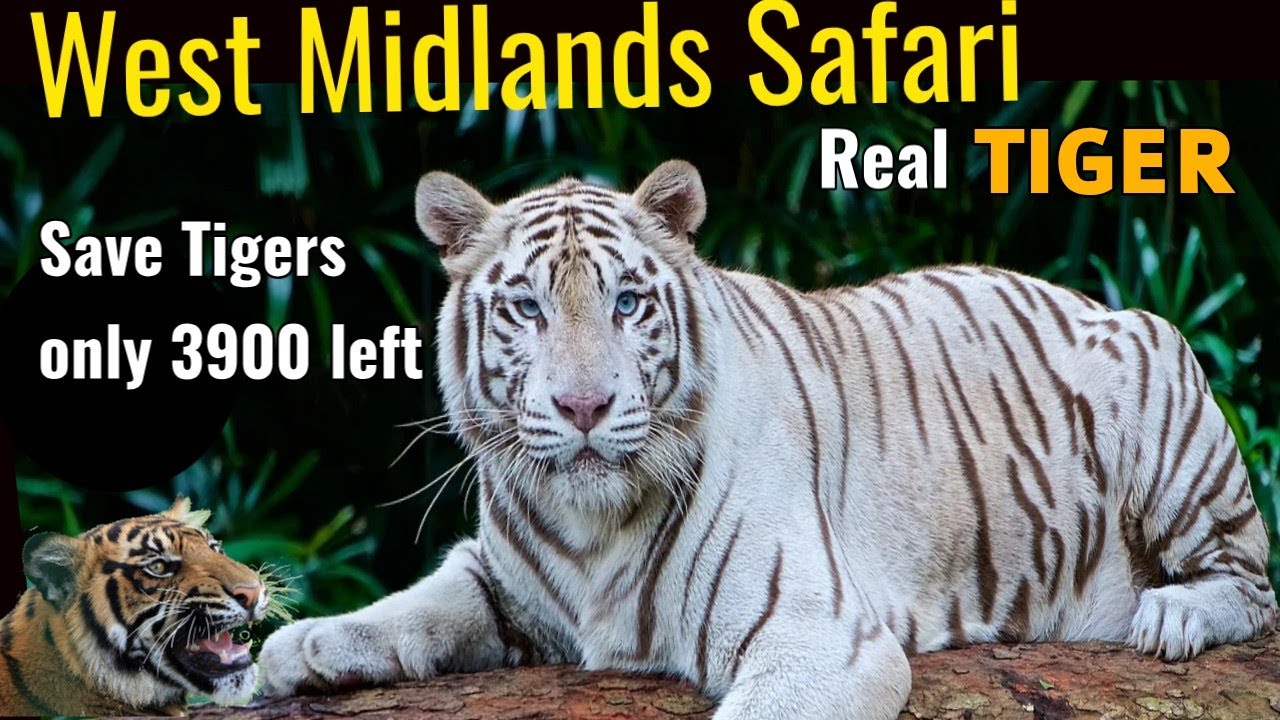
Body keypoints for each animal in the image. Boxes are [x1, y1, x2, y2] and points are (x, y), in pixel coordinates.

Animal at [258, 160, 1276, 719]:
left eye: (627, 302)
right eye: (528, 308)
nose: (584, 406)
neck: (589, 532)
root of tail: (1090, 300)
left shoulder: (819, 639)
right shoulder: (503, 578)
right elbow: (416, 606)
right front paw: (300, 646)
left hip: (1158, 379)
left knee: (1253, 584)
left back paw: (1175, 616)